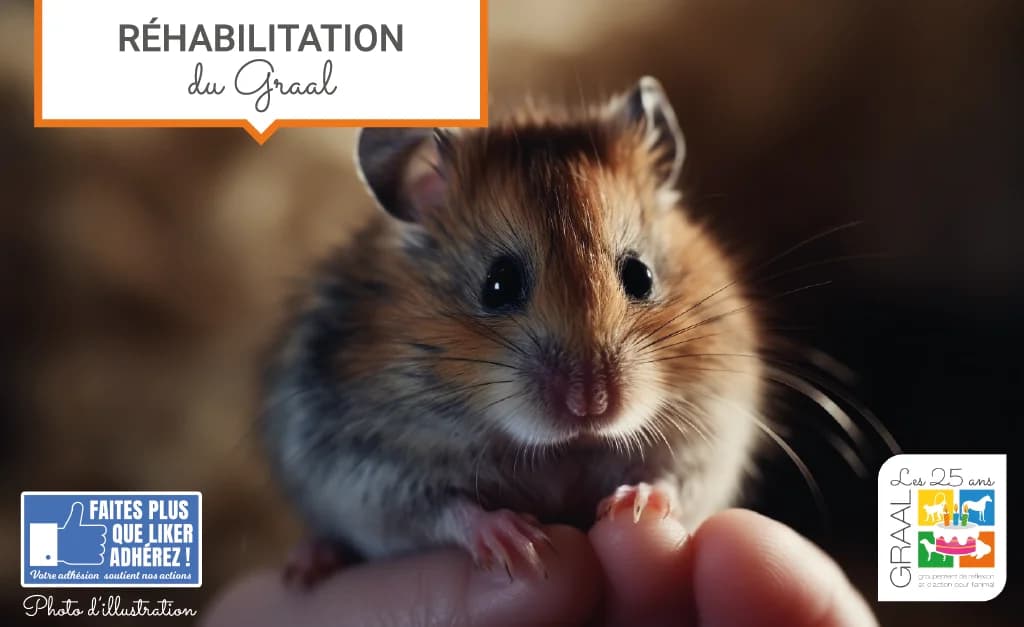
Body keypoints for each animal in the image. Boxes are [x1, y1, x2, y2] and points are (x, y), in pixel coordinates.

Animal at [262, 76, 763, 581]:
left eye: (640, 276)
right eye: (498, 283)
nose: (591, 405)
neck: (562, 449)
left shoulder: (712, 429)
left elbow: (674, 478)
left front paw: (635, 507)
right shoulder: (365, 467)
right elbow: (446, 509)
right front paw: (521, 546)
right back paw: (308, 565)